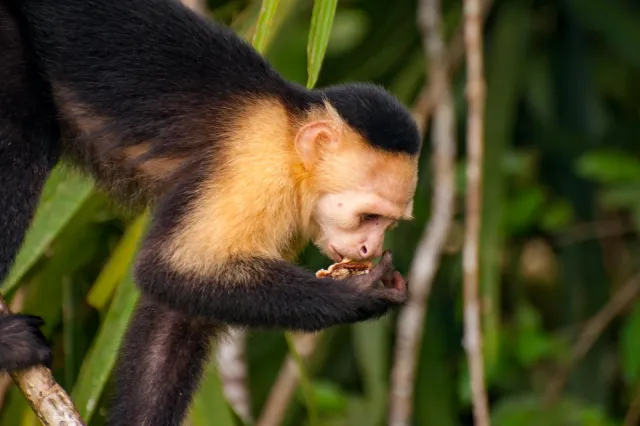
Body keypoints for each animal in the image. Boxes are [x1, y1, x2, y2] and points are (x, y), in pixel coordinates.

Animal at [0, 0, 420, 422]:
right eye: (369, 217)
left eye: (388, 223)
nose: (370, 248)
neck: (293, 151)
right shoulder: (259, 165)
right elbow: (169, 268)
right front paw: (360, 292)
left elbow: (178, 308)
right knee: (25, 126)